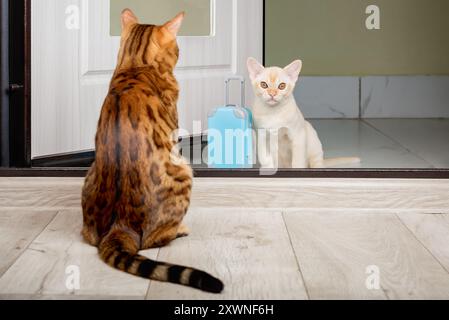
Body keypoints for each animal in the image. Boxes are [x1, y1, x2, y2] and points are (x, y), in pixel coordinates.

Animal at [81, 8, 224, 294]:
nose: (181, 51)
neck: (136, 65)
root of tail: (119, 226)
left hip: (87, 176)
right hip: (184, 171)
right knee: (153, 241)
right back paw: (180, 229)